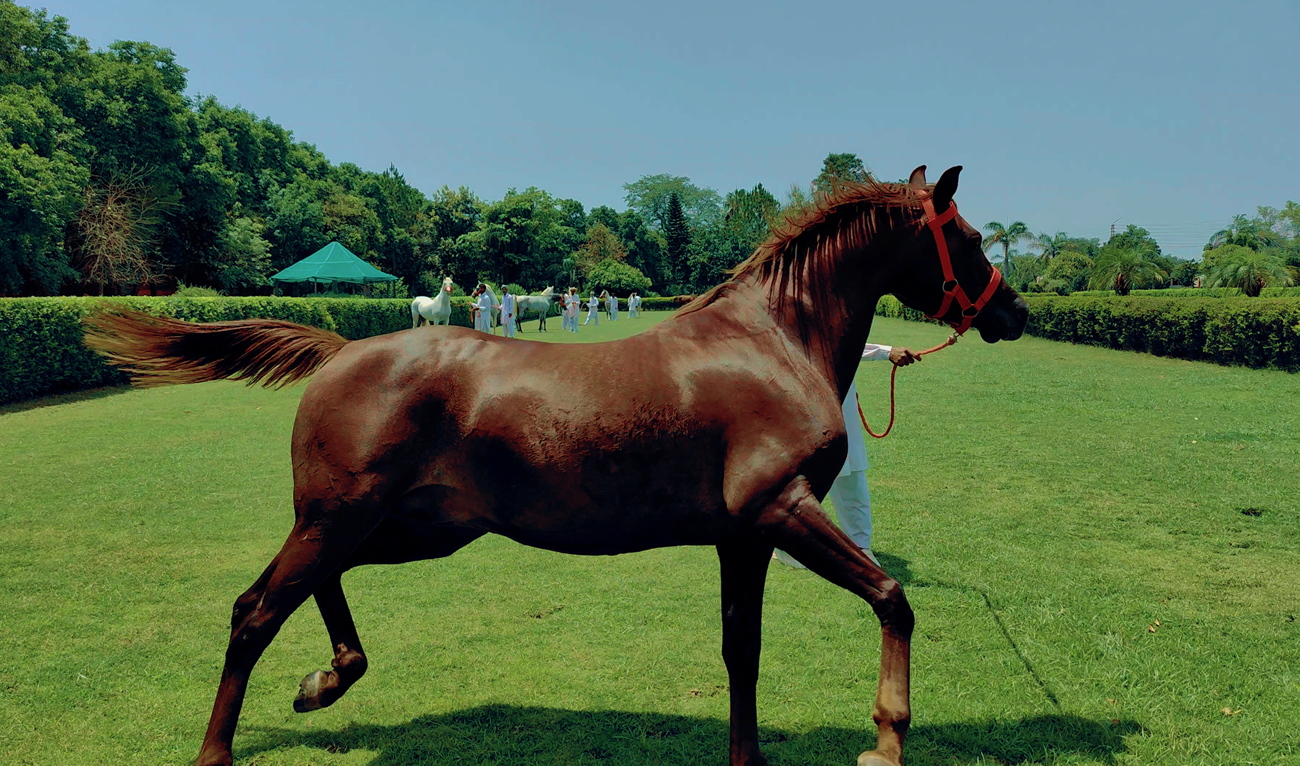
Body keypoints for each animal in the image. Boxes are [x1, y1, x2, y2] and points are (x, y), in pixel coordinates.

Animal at [84, 166, 1027, 766]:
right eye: (973, 236)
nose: (1013, 312)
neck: (770, 341)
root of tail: (339, 349)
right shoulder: (781, 509)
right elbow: (892, 598)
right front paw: (889, 734)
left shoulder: (743, 537)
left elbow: (742, 652)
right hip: (343, 518)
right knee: (254, 611)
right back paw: (221, 745)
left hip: (407, 526)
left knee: (306, 590)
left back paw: (327, 680)